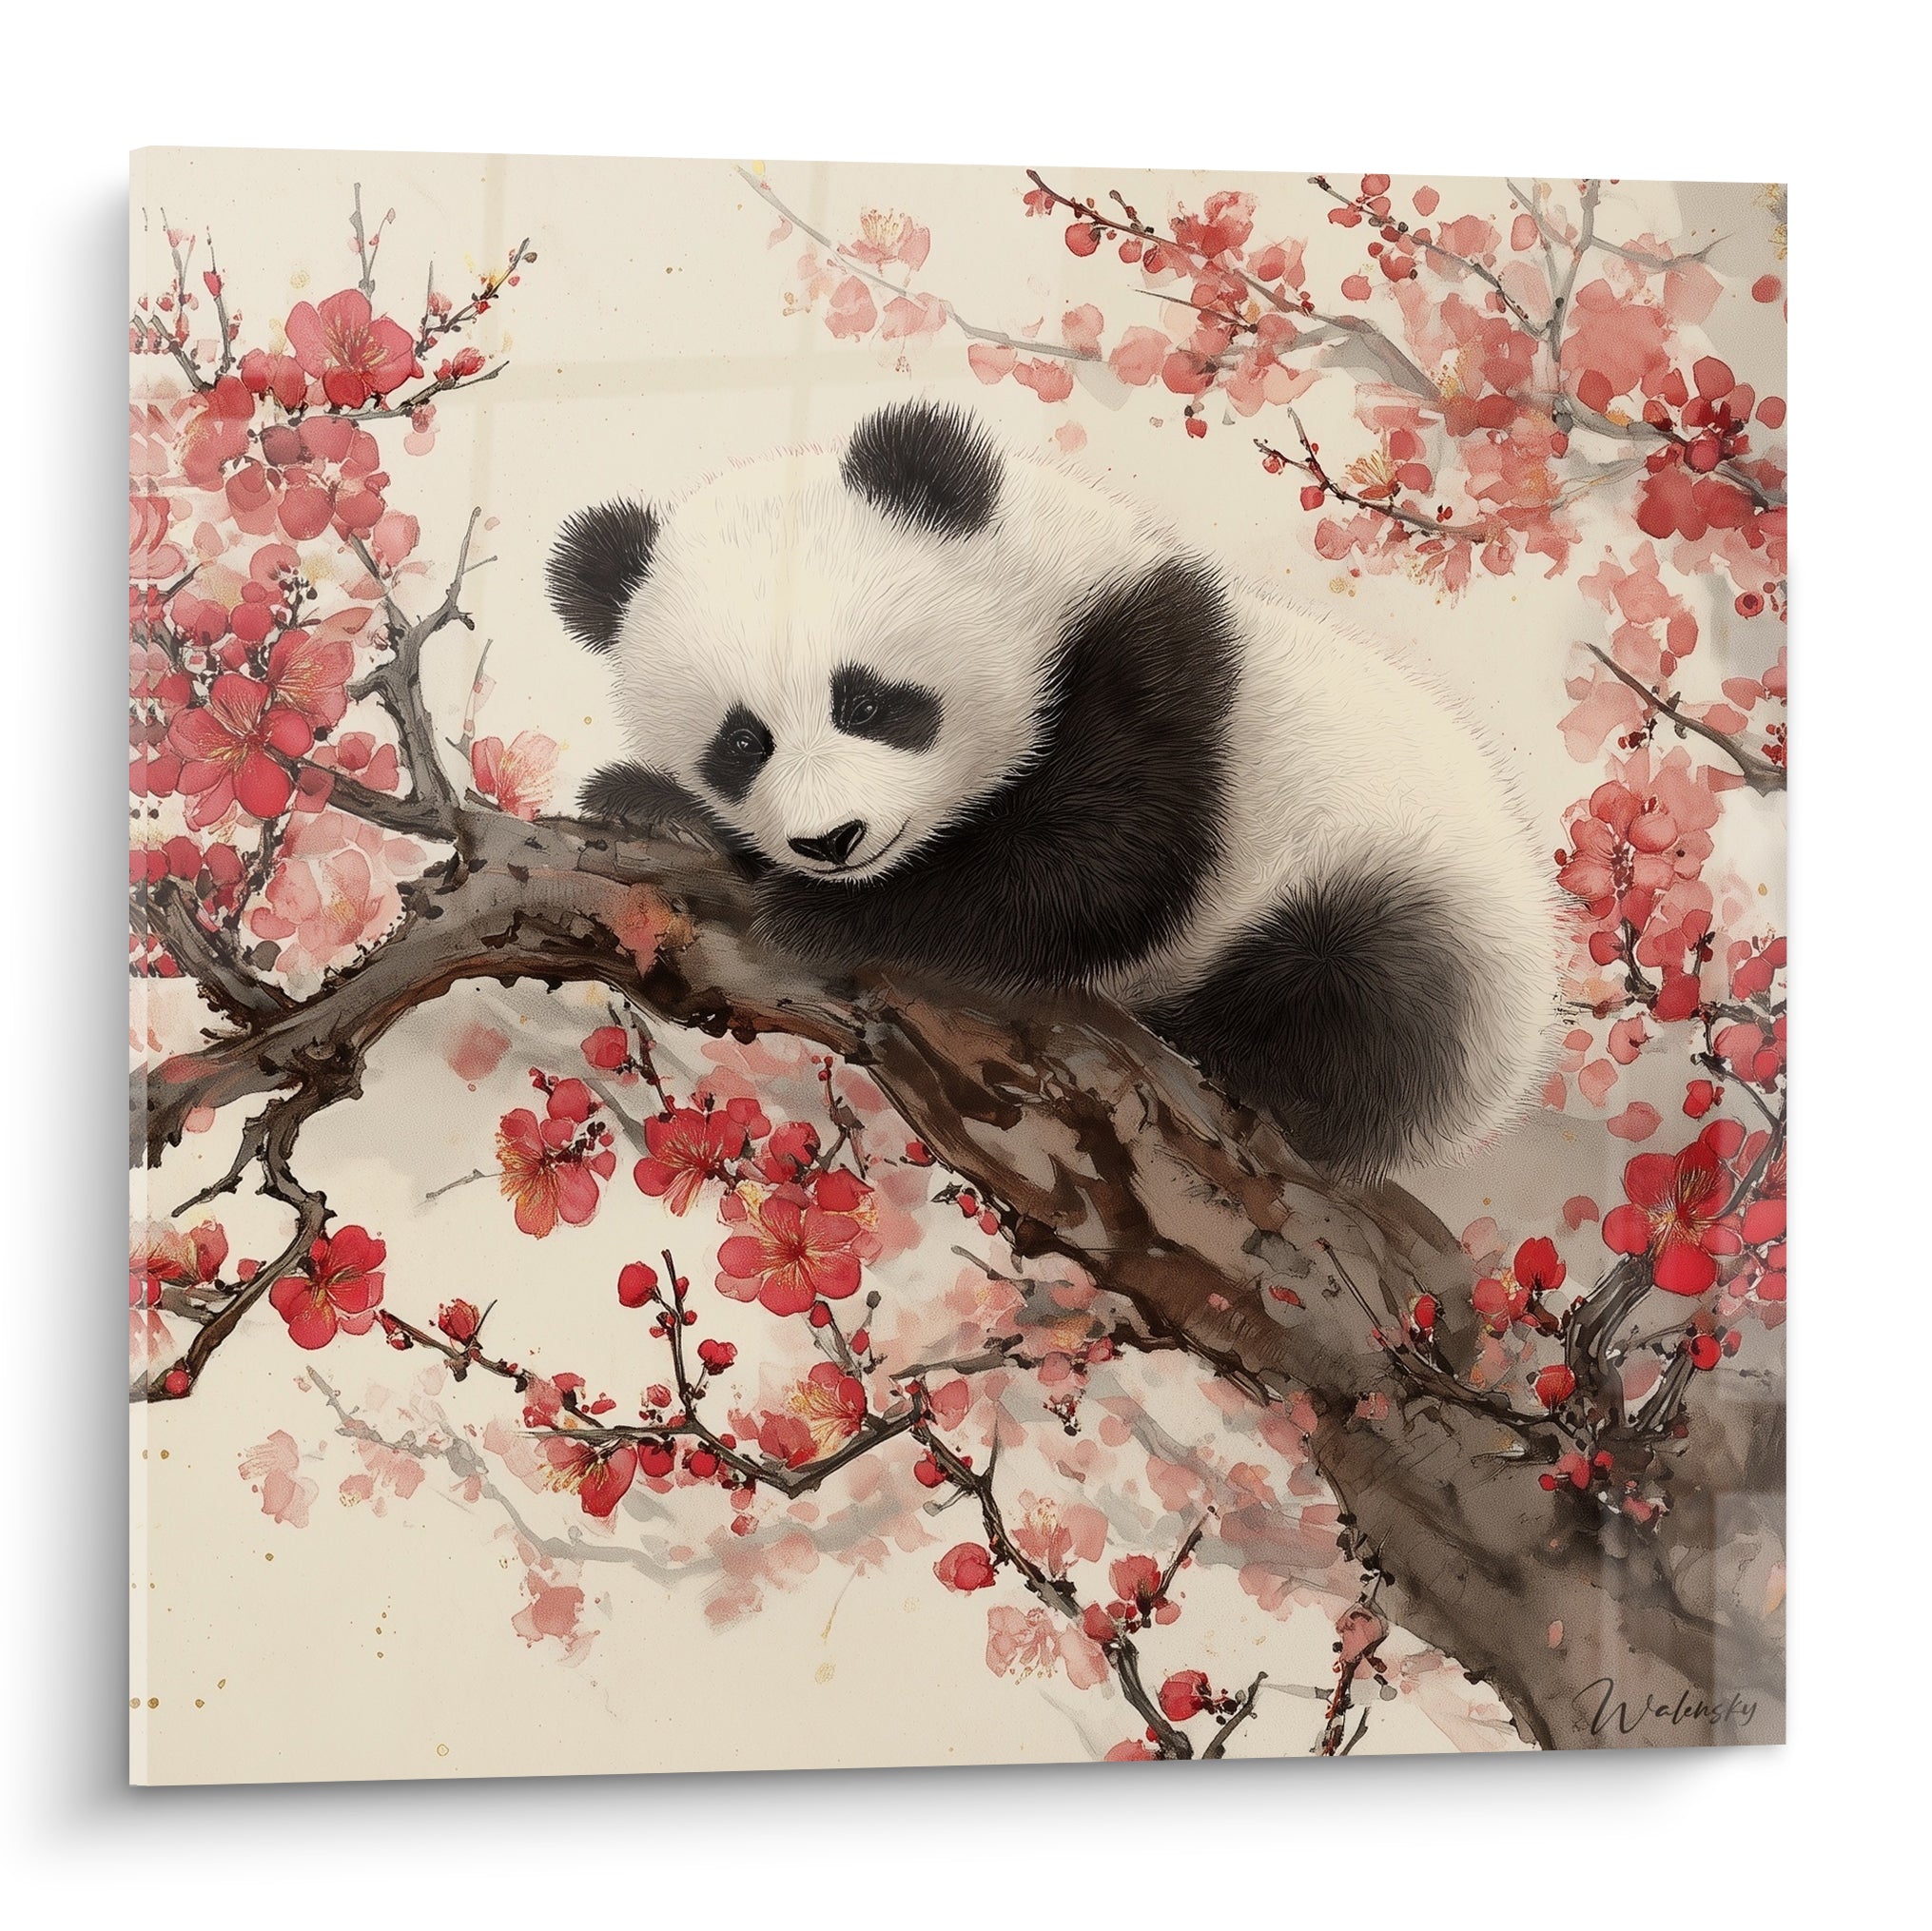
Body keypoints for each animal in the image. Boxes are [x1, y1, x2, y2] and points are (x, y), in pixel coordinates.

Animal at [547, 399, 1558, 1178]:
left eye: (867, 702)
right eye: (741, 742)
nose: (830, 842)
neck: (1046, 585)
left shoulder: (1152, 674)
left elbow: (1100, 873)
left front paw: (817, 913)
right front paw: (645, 799)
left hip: (1413, 898)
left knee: (1357, 988)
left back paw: (1219, 1048)